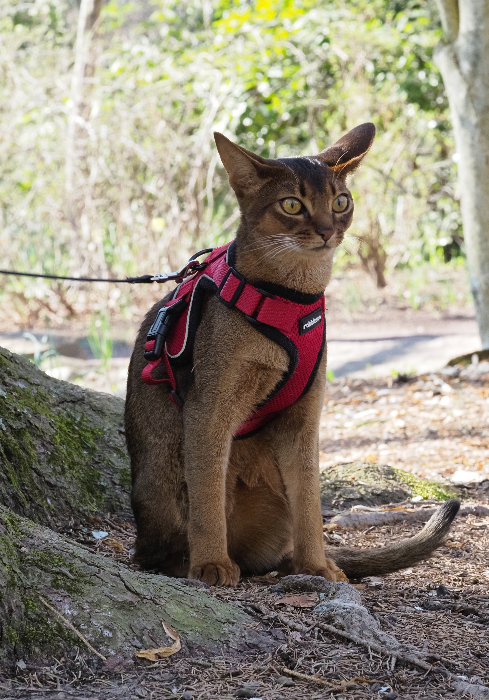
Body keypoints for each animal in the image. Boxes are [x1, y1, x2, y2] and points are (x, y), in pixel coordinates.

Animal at [125, 124, 458, 584]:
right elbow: (207, 497)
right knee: (158, 548)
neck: (291, 299)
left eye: (341, 201)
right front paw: (210, 564)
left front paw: (316, 565)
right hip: (168, 468)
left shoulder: (305, 415)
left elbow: (310, 500)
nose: (326, 230)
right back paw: (199, 561)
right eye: (291, 205)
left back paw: (288, 564)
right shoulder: (208, 407)